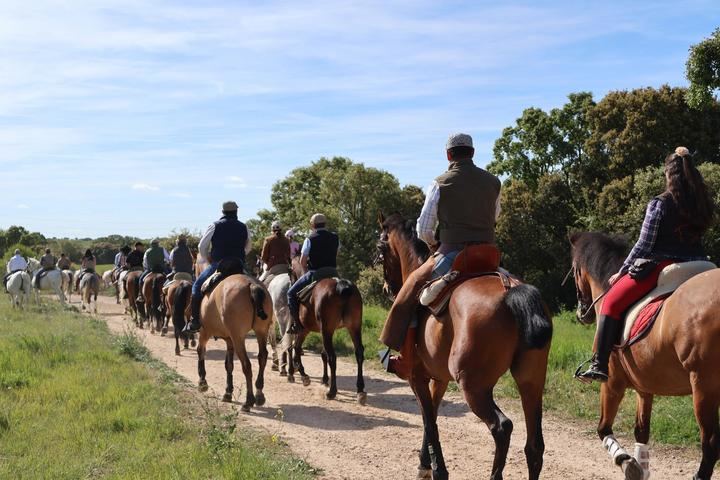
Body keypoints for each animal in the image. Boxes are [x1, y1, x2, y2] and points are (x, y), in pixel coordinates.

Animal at [195, 274, 272, 412]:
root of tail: (252, 285)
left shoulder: (205, 332)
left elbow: (201, 351)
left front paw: (202, 382)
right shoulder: (229, 340)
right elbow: (229, 365)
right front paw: (228, 392)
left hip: (238, 338)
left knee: (247, 365)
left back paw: (248, 401)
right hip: (261, 331)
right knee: (262, 357)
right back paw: (259, 395)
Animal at [286, 255, 368, 404]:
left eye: (289, 271)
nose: (290, 283)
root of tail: (341, 286)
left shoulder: (308, 330)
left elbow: (300, 349)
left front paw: (305, 375)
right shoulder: (319, 331)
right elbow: (320, 353)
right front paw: (324, 380)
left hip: (325, 330)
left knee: (331, 357)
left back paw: (331, 391)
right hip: (353, 327)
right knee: (358, 352)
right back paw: (360, 390)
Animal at [376, 214, 552, 480]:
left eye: (381, 249)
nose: (387, 288)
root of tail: (510, 290)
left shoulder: (416, 377)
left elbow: (429, 422)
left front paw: (437, 470)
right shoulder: (439, 379)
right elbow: (432, 417)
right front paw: (426, 464)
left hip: (473, 387)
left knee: (502, 427)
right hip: (531, 384)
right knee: (534, 446)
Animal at [568, 231, 720, 478]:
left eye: (575, 271)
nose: (583, 314)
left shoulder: (612, 383)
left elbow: (603, 428)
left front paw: (625, 461)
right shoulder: (644, 387)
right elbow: (641, 431)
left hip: (704, 387)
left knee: (710, 445)